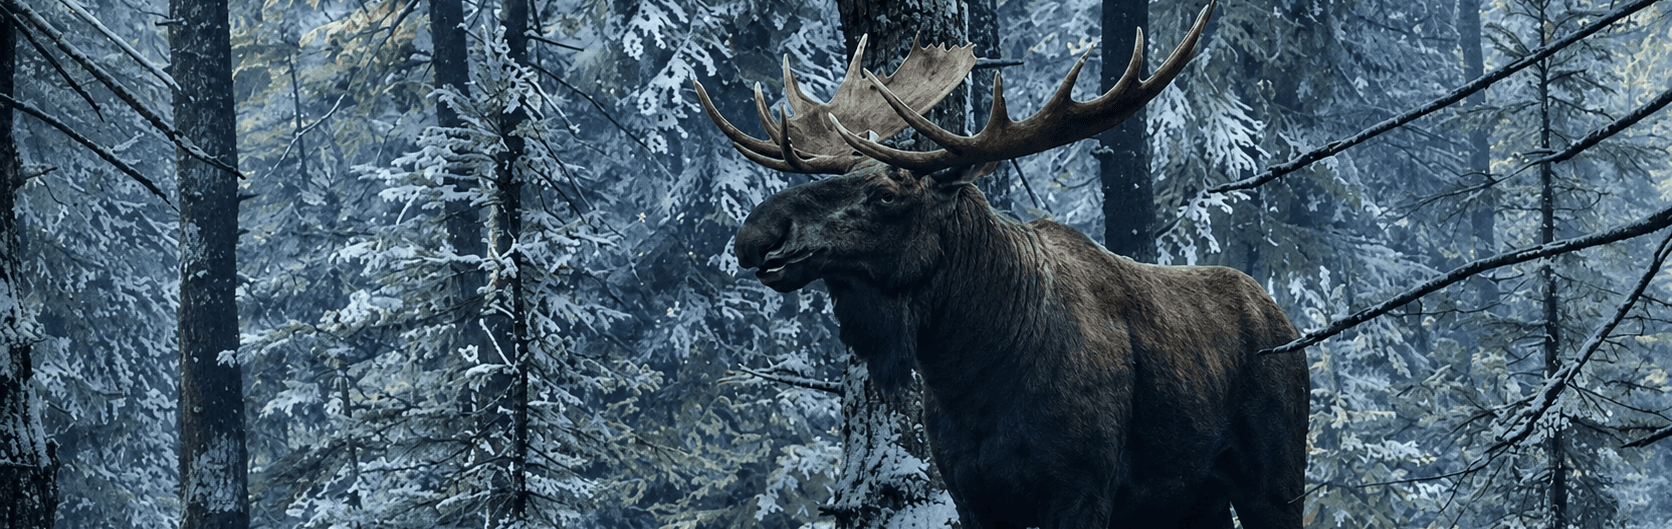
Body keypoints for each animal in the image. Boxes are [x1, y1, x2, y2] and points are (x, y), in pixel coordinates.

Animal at [691, 1, 1308, 527]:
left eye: (887, 195)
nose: (756, 235)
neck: (971, 373)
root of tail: (1283, 320)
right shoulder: (973, 496)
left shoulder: (1082, 488)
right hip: (1188, 502)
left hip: (1274, 479)